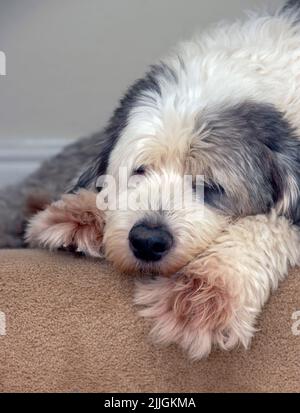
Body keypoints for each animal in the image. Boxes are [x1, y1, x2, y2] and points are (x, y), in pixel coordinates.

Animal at [9, 0, 300, 358]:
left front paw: (203, 293)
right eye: (140, 170)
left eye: (211, 186)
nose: (147, 241)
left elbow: (267, 225)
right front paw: (79, 214)